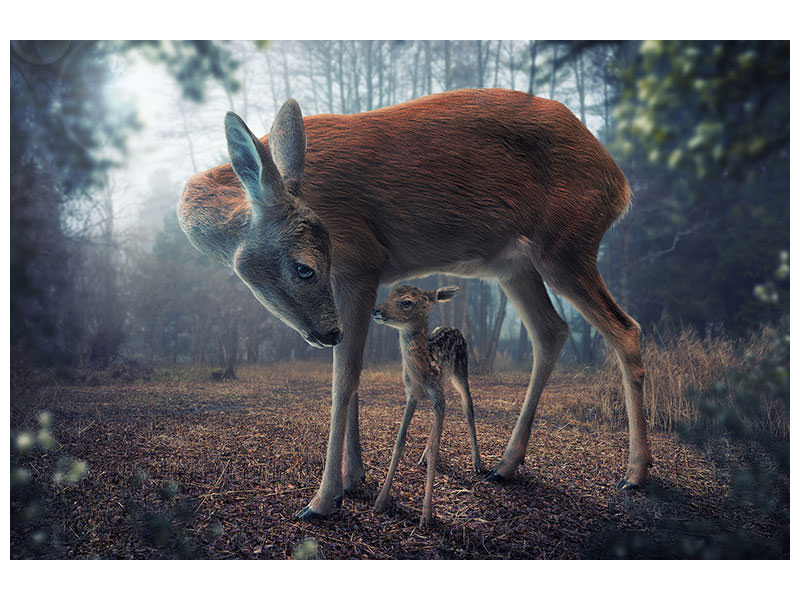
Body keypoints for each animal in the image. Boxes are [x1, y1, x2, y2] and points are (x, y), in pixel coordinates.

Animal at [371, 284, 481, 527]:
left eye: (406, 302)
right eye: (389, 294)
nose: (376, 310)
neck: (421, 373)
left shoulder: (438, 395)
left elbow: (436, 446)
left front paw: (426, 515)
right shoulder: (411, 395)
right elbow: (399, 441)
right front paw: (380, 501)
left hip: (461, 371)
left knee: (468, 407)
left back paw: (477, 463)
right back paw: (423, 457)